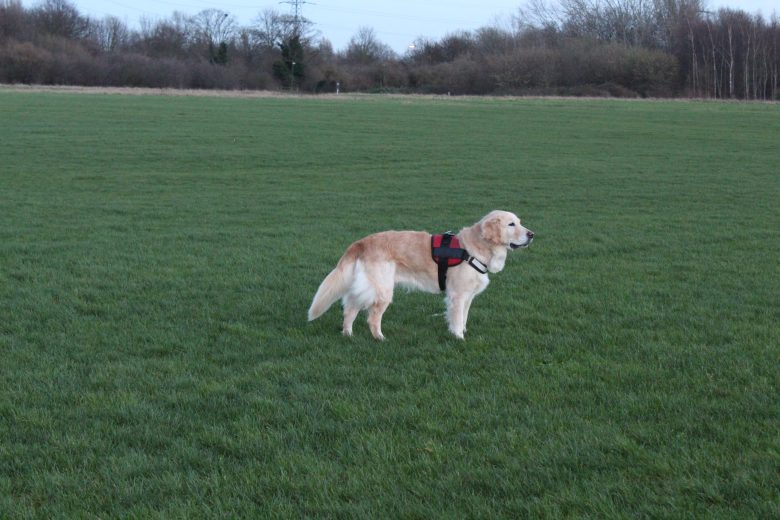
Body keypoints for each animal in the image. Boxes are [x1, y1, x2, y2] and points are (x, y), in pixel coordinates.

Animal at [308, 209, 532, 340]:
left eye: (520, 222)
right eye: (511, 224)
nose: (532, 234)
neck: (473, 249)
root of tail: (362, 242)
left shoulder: (468, 296)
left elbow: (464, 317)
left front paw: (461, 331)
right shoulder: (457, 295)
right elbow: (457, 318)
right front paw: (459, 338)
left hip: (367, 287)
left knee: (350, 309)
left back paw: (348, 334)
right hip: (383, 290)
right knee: (372, 318)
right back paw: (380, 338)